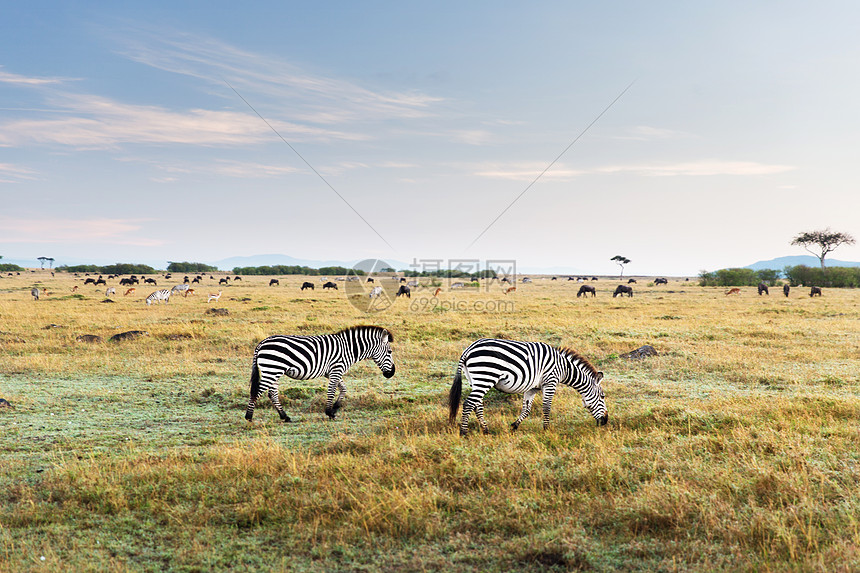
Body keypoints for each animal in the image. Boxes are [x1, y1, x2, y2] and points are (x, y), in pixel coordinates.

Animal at [245, 326, 396, 420]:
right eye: (390, 352)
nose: (392, 373)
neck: (349, 349)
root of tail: (261, 343)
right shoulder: (336, 369)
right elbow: (331, 391)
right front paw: (329, 412)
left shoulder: (332, 372)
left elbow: (343, 389)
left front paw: (335, 408)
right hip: (271, 370)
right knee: (257, 391)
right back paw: (249, 417)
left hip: (273, 372)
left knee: (272, 394)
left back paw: (284, 416)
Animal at [446, 338, 608, 436]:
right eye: (602, 396)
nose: (605, 421)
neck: (564, 368)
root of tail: (468, 349)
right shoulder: (550, 381)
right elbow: (546, 407)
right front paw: (546, 429)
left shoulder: (532, 388)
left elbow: (527, 409)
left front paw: (514, 426)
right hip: (486, 375)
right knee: (469, 403)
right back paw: (464, 432)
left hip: (475, 379)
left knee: (477, 404)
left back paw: (485, 430)